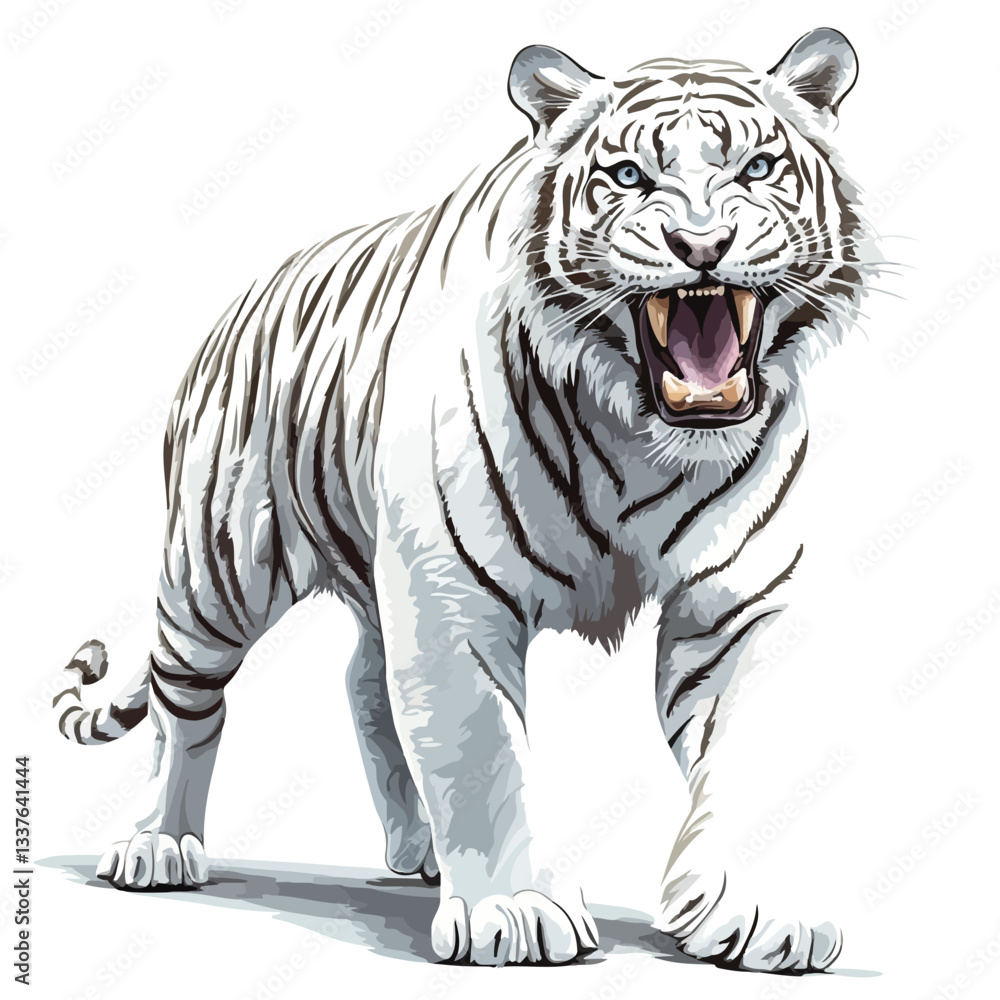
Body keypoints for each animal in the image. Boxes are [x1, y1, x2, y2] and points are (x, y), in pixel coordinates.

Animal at [53, 27, 876, 970]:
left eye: (757, 168)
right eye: (630, 175)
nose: (699, 246)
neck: (641, 438)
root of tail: (248, 297)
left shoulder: (747, 598)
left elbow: (750, 745)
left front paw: (764, 914)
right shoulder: (451, 591)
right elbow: (480, 750)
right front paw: (514, 913)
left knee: (363, 682)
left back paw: (415, 852)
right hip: (216, 570)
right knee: (182, 704)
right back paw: (158, 845)